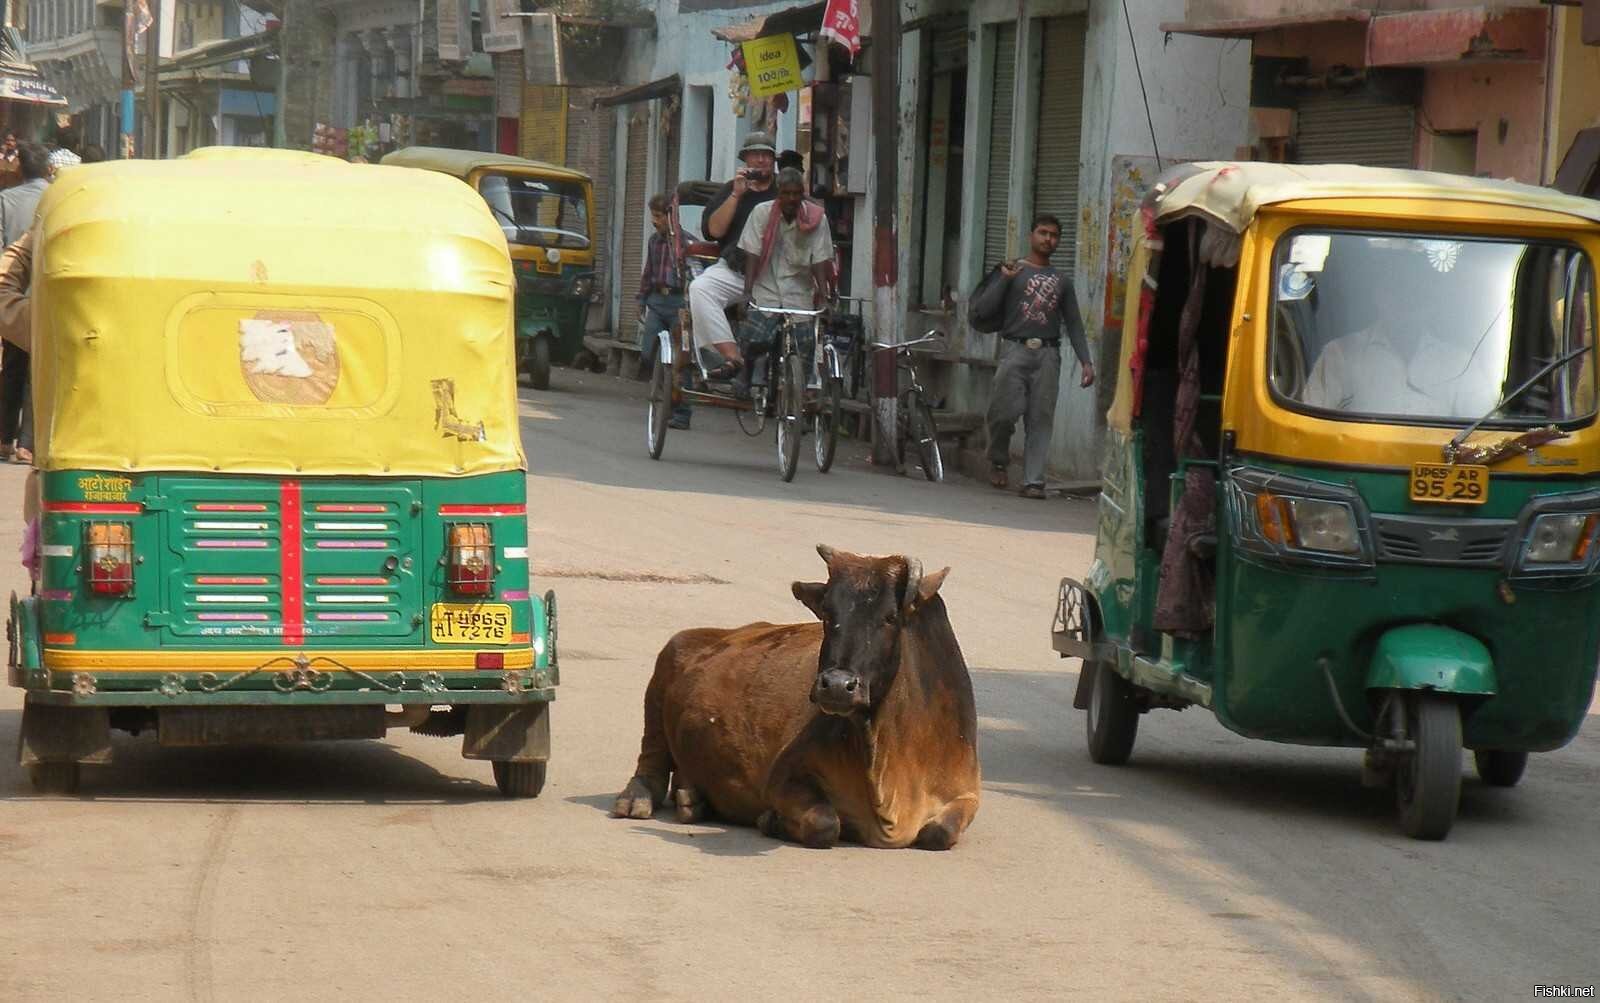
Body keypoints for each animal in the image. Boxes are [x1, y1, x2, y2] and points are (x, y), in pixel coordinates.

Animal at [611, 543, 979, 851]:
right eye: (828, 613)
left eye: (891, 617)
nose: (836, 685)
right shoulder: (782, 779)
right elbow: (825, 824)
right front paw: (771, 820)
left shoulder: (967, 793)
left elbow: (939, 833)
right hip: (668, 659)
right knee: (651, 758)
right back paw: (639, 798)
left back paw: (691, 799)